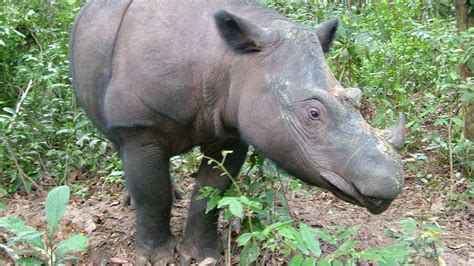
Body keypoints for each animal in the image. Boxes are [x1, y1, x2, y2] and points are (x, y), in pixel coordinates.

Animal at [68, 0, 406, 264]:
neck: (234, 60)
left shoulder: (233, 128)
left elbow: (210, 194)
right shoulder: (140, 126)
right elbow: (154, 195)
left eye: (357, 96)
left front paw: (200, 255)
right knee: (121, 146)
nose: (388, 187)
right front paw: (154, 258)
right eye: (313, 113)